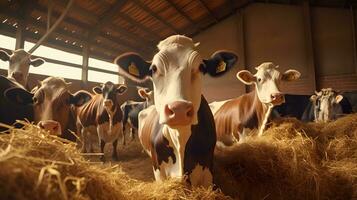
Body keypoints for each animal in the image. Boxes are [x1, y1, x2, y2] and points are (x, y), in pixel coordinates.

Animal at [114, 34, 236, 188]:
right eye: (153, 69)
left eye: (201, 67)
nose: (179, 109)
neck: (180, 138)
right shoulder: (159, 170)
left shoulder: (208, 170)